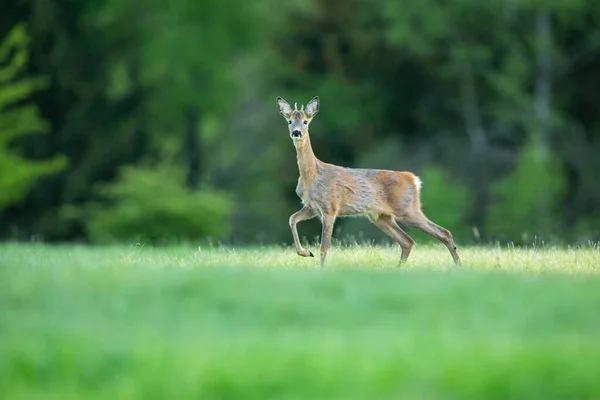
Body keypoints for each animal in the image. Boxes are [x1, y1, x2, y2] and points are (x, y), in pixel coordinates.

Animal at [278, 95, 464, 268]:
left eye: (305, 121)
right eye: (289, 121)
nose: (296, 132)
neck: (311, 177)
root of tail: (413, 179)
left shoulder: (330, 207)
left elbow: (324, 247)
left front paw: (320, 269)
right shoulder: (311, 207)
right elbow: (292, 219)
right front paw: (305, 252)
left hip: (407, 209)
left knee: (443, 232)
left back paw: (459, 266)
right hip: (381, 216)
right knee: (407, 241)